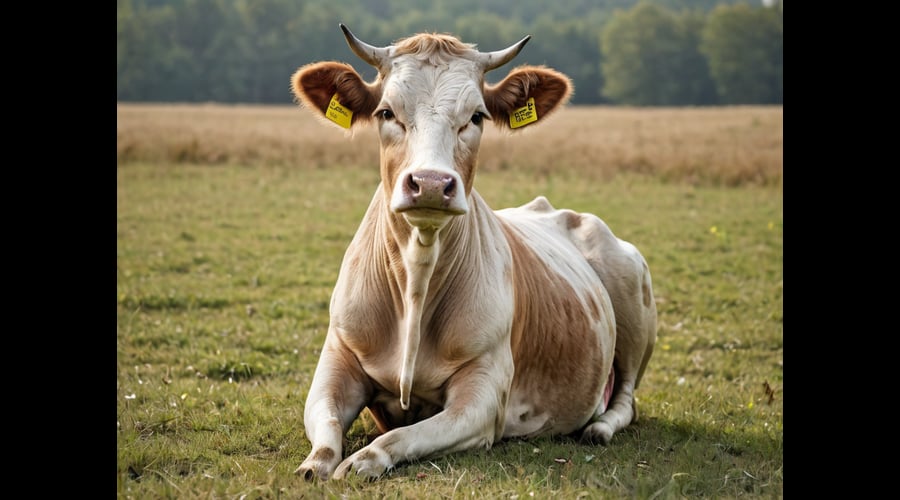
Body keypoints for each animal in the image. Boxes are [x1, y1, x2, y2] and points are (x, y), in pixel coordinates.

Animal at [290, 24, 657, 481]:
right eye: (387, 113)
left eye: (476, 116)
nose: (430, 183)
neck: (416, 281)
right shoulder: (337, 358)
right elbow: (325, 431)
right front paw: (313, 466)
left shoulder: (483, 398)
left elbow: (395, 439)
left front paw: (360, 463)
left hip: (632, 296)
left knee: (625, 398)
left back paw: (600, 427)